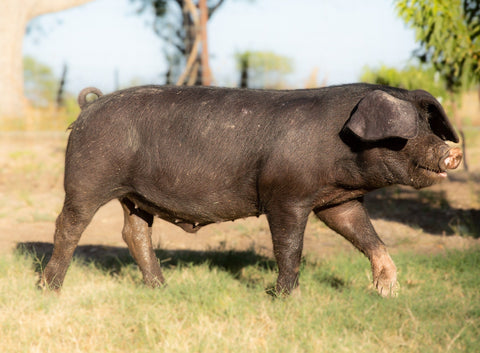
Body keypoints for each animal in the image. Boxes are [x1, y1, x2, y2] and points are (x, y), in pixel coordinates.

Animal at [40, 84, 462, 296]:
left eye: (430, 123)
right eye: (407, 133)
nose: (453, 152)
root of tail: (88, 108)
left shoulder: (337, 201)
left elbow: (365, 233)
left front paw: (387, 288)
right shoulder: (285, 195)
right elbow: (289, 246)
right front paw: (286, 298)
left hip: (135, 195)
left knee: (134, 232)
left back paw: (161, 289)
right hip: (87, 176)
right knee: (69, 225)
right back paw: (49, 288)